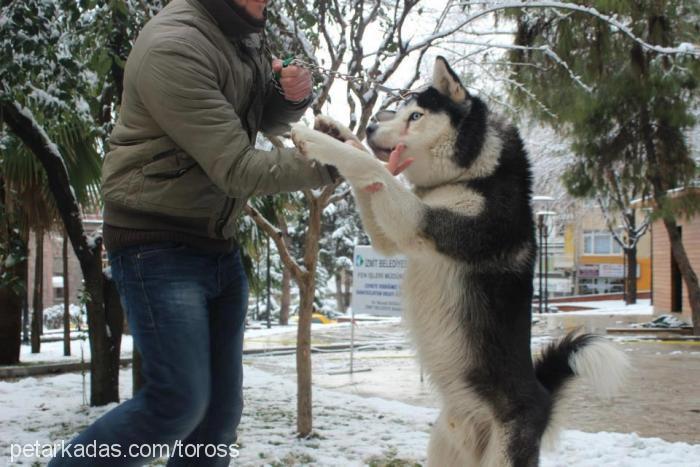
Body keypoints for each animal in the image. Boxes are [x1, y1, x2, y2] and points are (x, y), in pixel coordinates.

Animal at [290, 56, 628, 466]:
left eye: (415, 116)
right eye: (396, 111)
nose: (370, 126)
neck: (477, 173)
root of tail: (542, 399)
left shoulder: (418, 223)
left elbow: (371, 168)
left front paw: (316, 140)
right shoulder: (395, 232)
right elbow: (368, 170)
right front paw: (336, 131)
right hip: (444, 446)